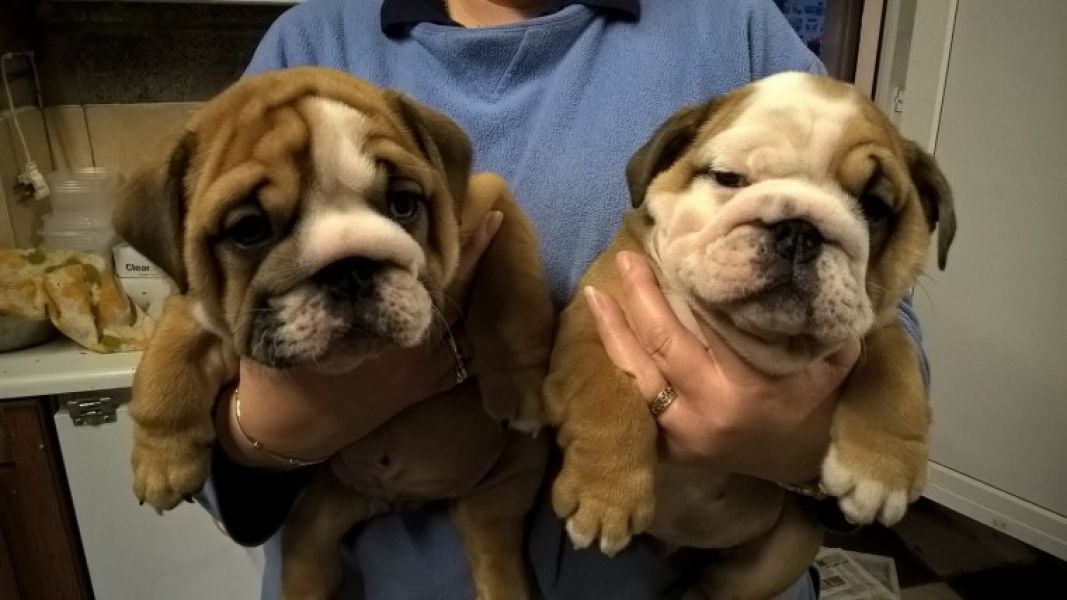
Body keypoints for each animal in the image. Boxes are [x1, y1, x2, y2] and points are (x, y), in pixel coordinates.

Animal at [113, 67, 554, 599]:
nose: (349, 269)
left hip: (505, 486)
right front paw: (161, 457)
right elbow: (169, 359)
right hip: (320, 513)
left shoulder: (490, 201)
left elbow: (512, 293)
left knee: (494, 549)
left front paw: (517, 379)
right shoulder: (204, 305)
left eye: (404, 203)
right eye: (249, 229)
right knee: (309, 555)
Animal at [544, 71, 956, 599]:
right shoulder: (596, 315)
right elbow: (609, 395)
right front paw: (605, 495)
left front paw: (882, 470)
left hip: (791, 544)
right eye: (728, 178)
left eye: (874, 206)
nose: (799, 229)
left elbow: (894, 368)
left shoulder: (874, 321)